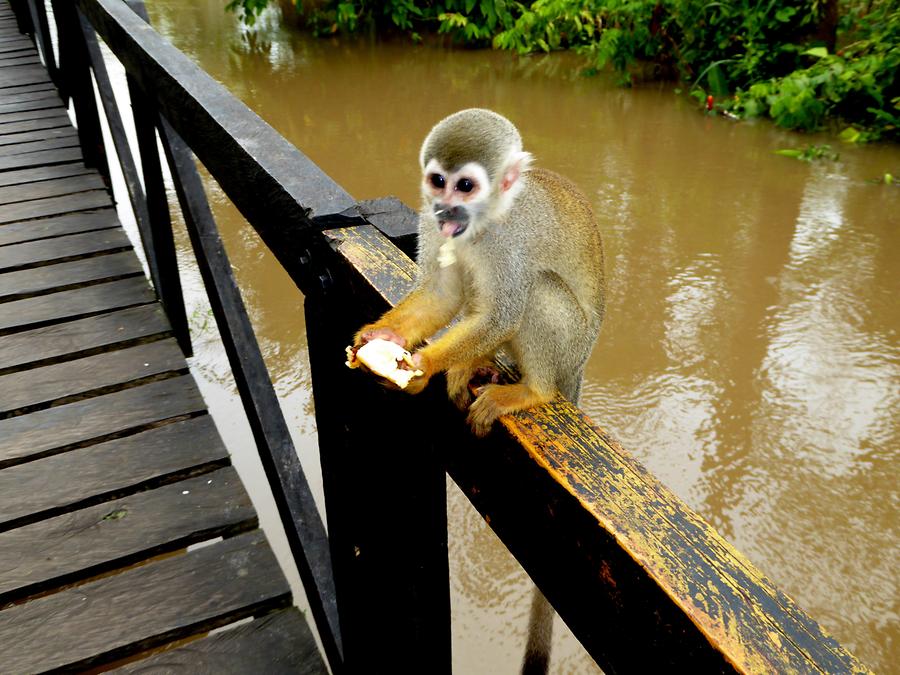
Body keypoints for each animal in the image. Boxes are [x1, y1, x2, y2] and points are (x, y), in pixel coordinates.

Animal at [356, 109, 608, 438]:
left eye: (465, 186)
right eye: (438, 181)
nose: (445, 208)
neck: (482, 221)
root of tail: (579, 367)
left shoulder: (509, 240)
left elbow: (500, 317)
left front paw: (425, 363)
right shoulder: (430, 218)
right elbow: (441, 294)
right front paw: (384, 335)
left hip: (572, 348)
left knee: (537, 288)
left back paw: (535, 390)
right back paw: (476, 362)